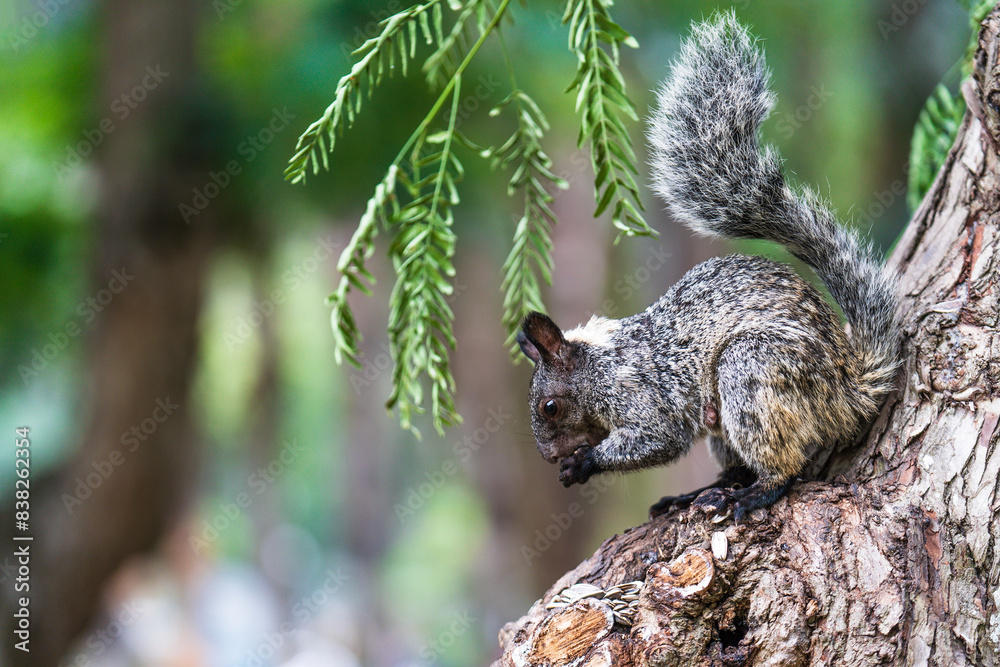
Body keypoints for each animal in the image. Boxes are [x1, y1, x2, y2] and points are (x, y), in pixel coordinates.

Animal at [515, 12, 899, 522]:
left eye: (551, 407)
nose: (550, 456)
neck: (603, 364)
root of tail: (847, 392)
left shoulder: (644, 395)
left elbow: (657, 439)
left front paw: (584, 463)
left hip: (752, 371)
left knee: (783, 466)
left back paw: (751, 494)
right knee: (738, 463)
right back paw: (698, 492)